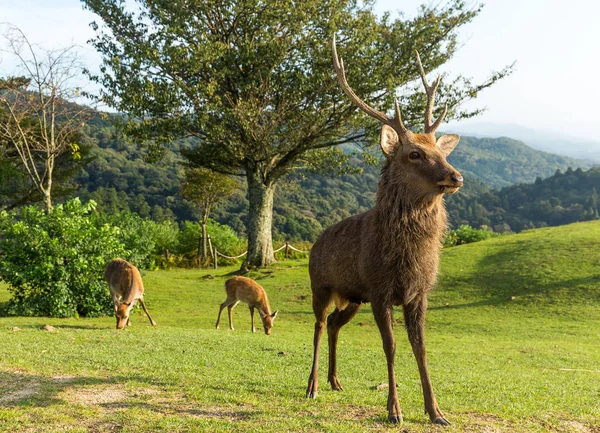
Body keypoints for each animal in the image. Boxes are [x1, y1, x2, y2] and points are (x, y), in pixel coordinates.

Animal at [304, 37, 464, 426]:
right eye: (414, 154)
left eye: (440, 150)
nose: (455, 176)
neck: (406, 258)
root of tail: (315, 242)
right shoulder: (379, 290)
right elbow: (390, 346)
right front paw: (394, 410)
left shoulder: (418, 293)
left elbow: (421, 349)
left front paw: (437, 411)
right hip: (321, 285)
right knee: (318, 325)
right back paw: (312, 386)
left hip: (351, 297)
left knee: (335, 323)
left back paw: (335, 380)